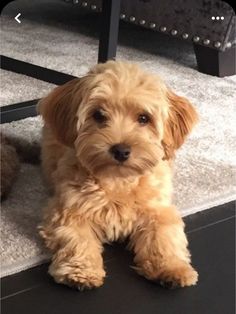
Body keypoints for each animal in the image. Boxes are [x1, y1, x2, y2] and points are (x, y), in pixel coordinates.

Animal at [37, 61, 198, 290]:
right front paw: (81, 271)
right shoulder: (68, 210)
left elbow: (164, 237)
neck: (118, 180)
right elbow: (77, 240)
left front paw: (172, 268)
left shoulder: (158, 210)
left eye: (143, 118)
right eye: (98, 115)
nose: (121, 150)